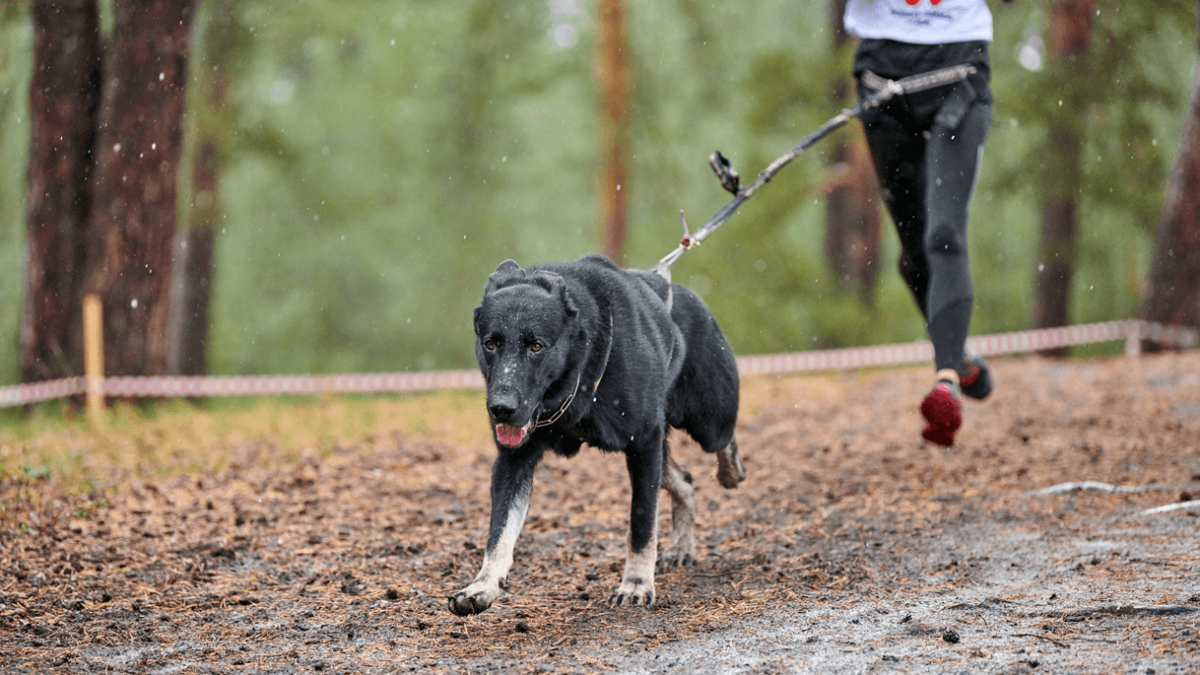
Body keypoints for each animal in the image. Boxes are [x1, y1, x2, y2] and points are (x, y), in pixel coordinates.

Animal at [446, 253, 744, 614]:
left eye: (536, 346)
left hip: (708, 421)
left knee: (723, 443)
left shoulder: (644, 444)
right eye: (490, 343)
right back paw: (681, 547)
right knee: (684, 480)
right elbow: (499, 532)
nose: (501, 408)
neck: (581, 371)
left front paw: (636, 583)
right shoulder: (513, 461)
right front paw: (483, 585)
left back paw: (731, 471)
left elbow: (642, 523)